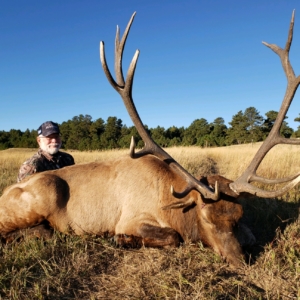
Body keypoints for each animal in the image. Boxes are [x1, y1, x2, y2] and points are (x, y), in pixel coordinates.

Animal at [0, 11, 300, 266]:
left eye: (237, 217)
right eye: (206, 218)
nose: (239, 262)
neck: (173, 205)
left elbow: (251, 234)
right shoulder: (132, 218)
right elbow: (172, 237)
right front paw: (121, 240)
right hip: (42, 195)